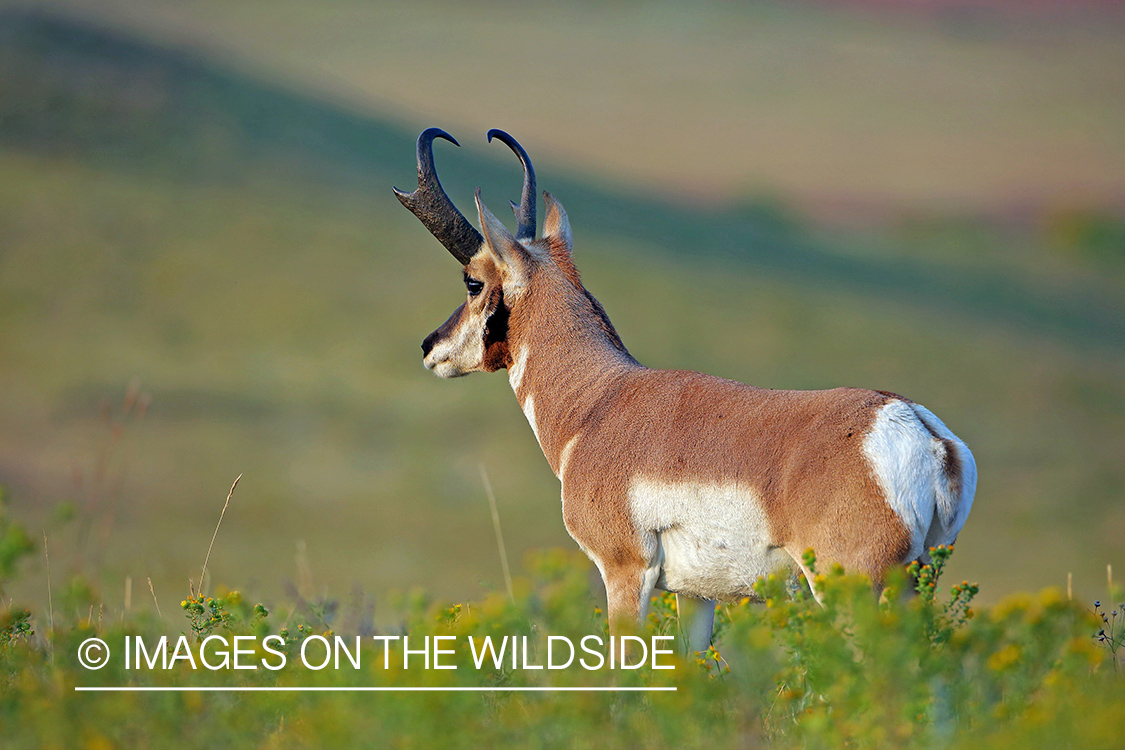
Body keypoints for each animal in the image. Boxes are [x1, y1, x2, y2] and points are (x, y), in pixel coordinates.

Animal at [396, 129, 976, 652]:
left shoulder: (624, 572)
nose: (428, 346)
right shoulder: (696, 596)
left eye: (473, 281)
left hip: (851, 590)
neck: (599, 402)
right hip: (911, 587)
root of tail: (914, 426)